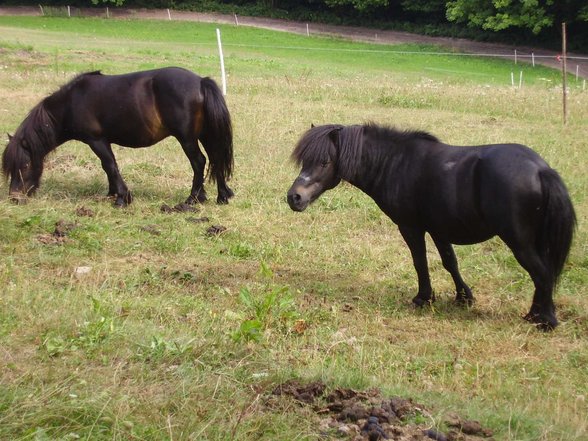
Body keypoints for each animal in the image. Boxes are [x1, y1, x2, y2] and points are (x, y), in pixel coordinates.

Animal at [4, 66, 235, 206]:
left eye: (25, 165)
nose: (14, 197)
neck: (71, 102)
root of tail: (200, 81)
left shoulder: (96, 140)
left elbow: (110, 166)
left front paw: (122, 198)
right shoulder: (102, 141)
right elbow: (108, 167)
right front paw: (112, 193)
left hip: (186, 138)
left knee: (199, 162)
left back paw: (193, 198)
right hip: (205, 135)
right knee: (215, 159)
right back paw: (221, 195)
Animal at [288, 122, 576, 328]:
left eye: (324, 161)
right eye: (304, 161)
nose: (294, 197)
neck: (395, 162)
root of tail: (540, 169)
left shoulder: (410, 227)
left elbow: (420, 262)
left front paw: (423, 297)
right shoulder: (439, 229)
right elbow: (450, 262)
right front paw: (463, 298)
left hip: (519, 242)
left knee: (542, 274)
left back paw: (544, 320)